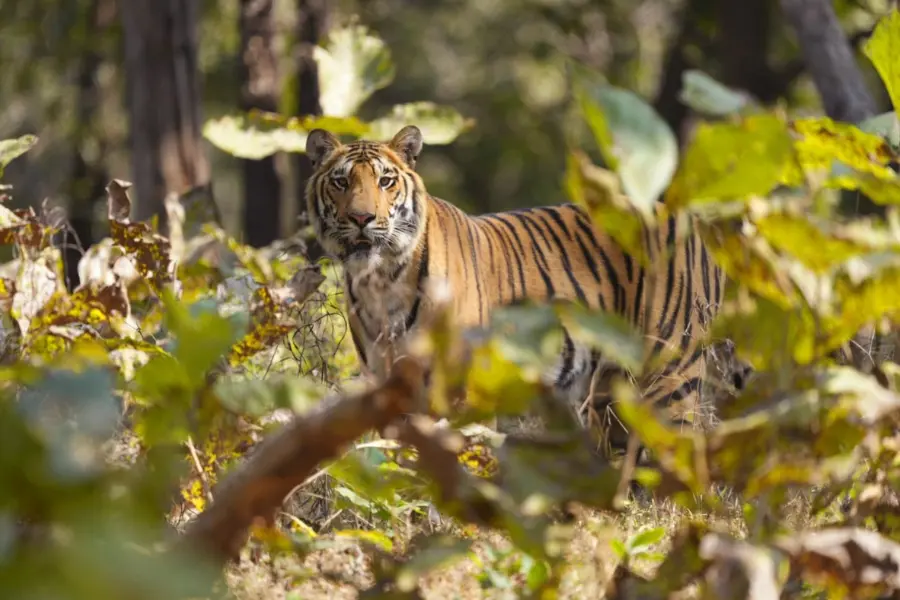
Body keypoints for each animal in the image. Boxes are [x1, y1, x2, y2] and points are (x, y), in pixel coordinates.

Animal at [304, 124, 731, 459]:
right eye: (341, 182)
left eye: (386, 181)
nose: (362, 218)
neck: (380, 279)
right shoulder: (384, 390)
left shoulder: (461, 391)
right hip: (608, 393)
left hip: (669, 378)